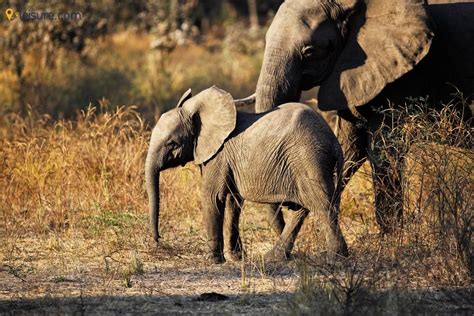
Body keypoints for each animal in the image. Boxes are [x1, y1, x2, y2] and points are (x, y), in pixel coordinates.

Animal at [146, 85, 350, 262]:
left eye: (172, 144)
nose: (158, 238)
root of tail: (333, 141)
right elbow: (233, 201)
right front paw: (237, 258)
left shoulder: (218, 155)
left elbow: (212, 197)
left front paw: (213, 260)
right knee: (305, 207)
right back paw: (274, 257)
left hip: (308, 158)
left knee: (322, 205)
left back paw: (336, 259)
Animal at [250, 0, 472, 233]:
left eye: (309, 51)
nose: (288, 205)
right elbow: (349, 148)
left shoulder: (401, 77)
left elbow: (383, 151)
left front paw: (391, 236)